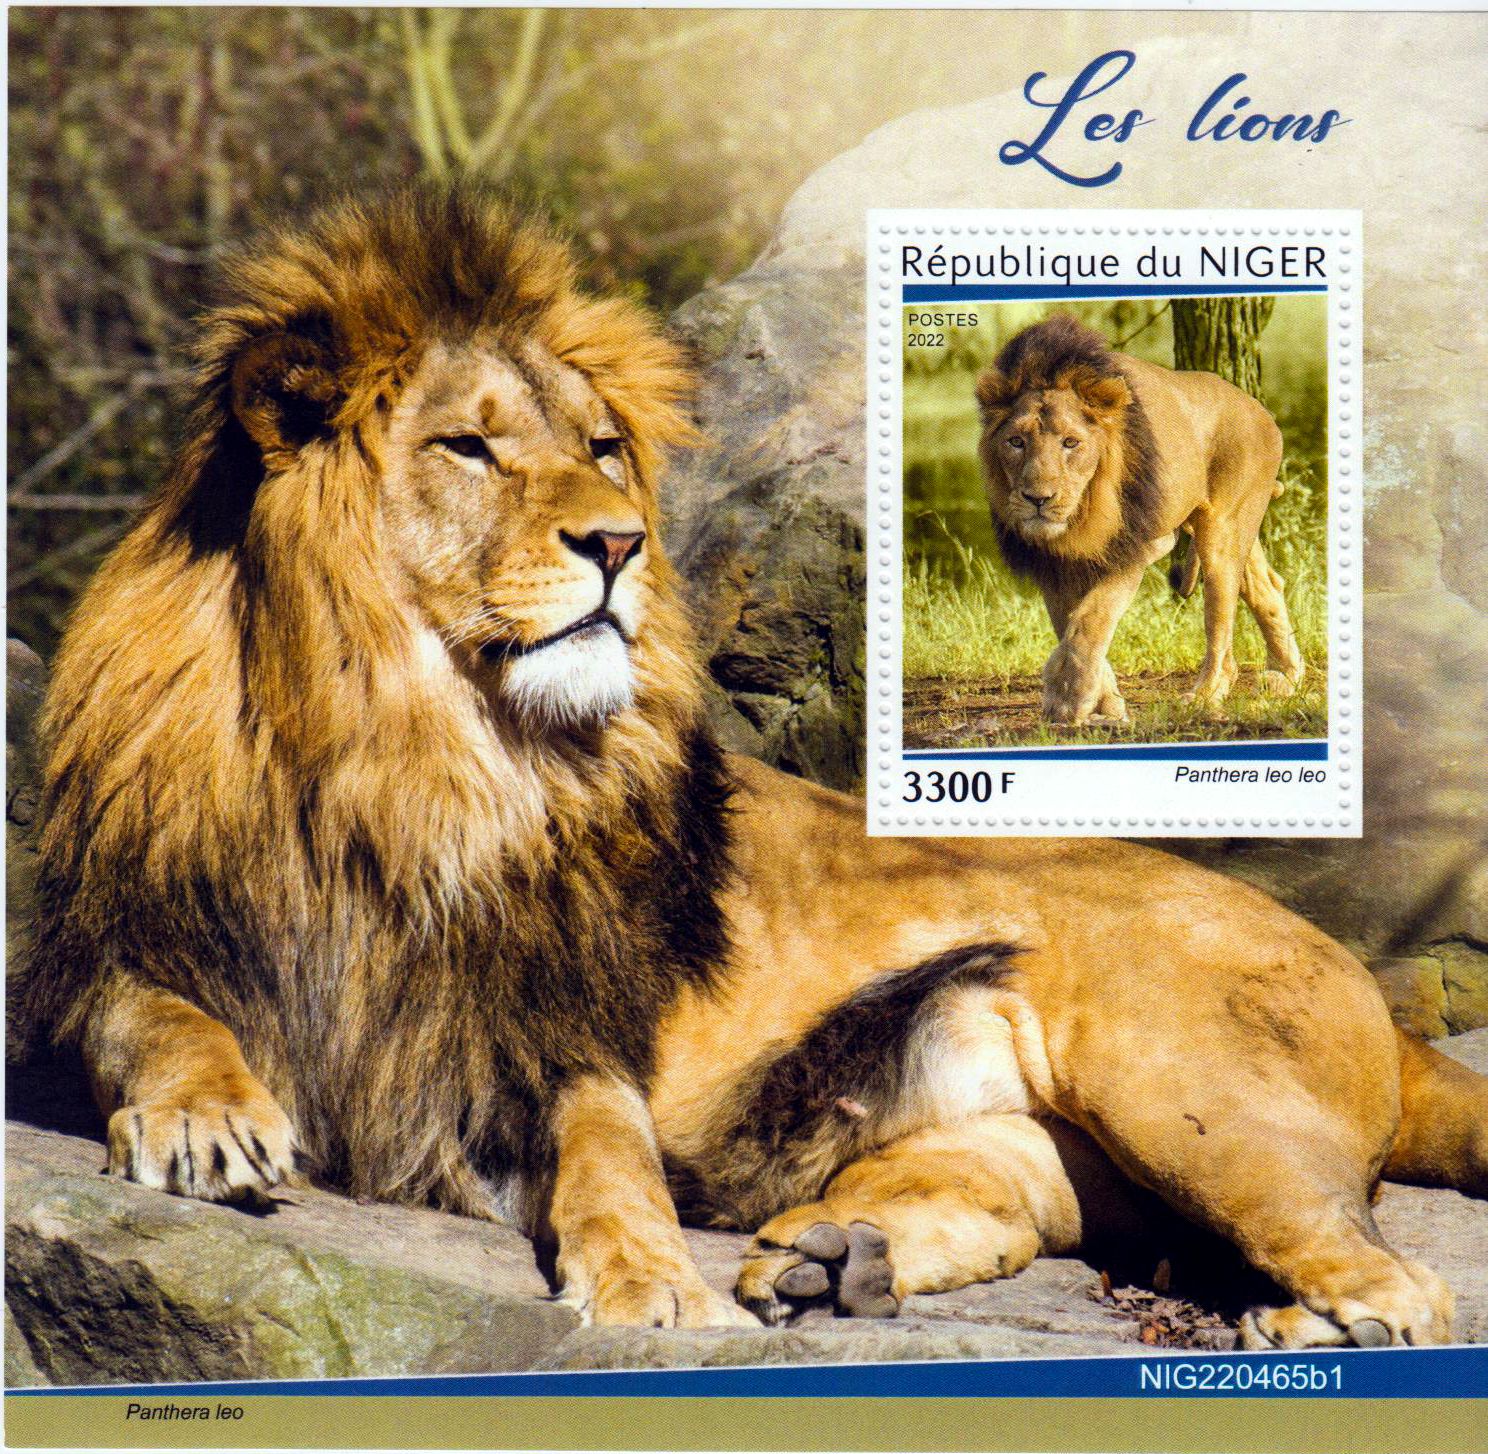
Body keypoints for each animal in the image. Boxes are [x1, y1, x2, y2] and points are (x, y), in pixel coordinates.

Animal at [974, 314, 1305, 725]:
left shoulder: (1142, 544)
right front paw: (1106, 703)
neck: (1083, 516)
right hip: (1233, 523)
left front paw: (1068, 697)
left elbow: (1091, 619)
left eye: (1071, 443)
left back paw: (1204, 695)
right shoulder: (1051, 563)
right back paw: (1285, 677)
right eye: (1016, 442)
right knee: (1267, 587)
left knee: (1221, 621)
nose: (1038, 499)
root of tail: (1260, 409)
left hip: (1220, 531)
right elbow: (1068, 623)